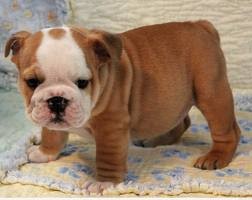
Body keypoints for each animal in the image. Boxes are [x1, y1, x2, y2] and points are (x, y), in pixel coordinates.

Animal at [3, 20, 240, 194]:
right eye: (32, 82)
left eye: (83, 82)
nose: (57, 100)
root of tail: (200, 25)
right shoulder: (50, 119)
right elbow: (51, 134)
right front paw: (44, 153)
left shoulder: (111, 126)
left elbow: (107, 156)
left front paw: (104, 183)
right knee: (182, 121)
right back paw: (155, 141)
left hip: (211, 93)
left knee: (228, 131)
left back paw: (215, 157)